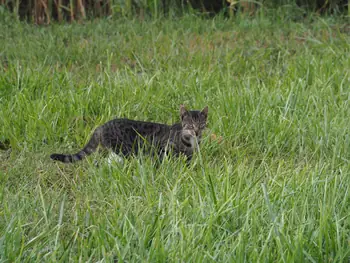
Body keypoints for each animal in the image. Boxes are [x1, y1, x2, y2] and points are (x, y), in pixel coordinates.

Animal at [49, 105, 208, 165]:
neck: (190, 142)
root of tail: (101, 127)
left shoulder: (189, 155)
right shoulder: (162, 149)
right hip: (124, 149)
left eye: (201, 125)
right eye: (190, 126)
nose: (196, 132)